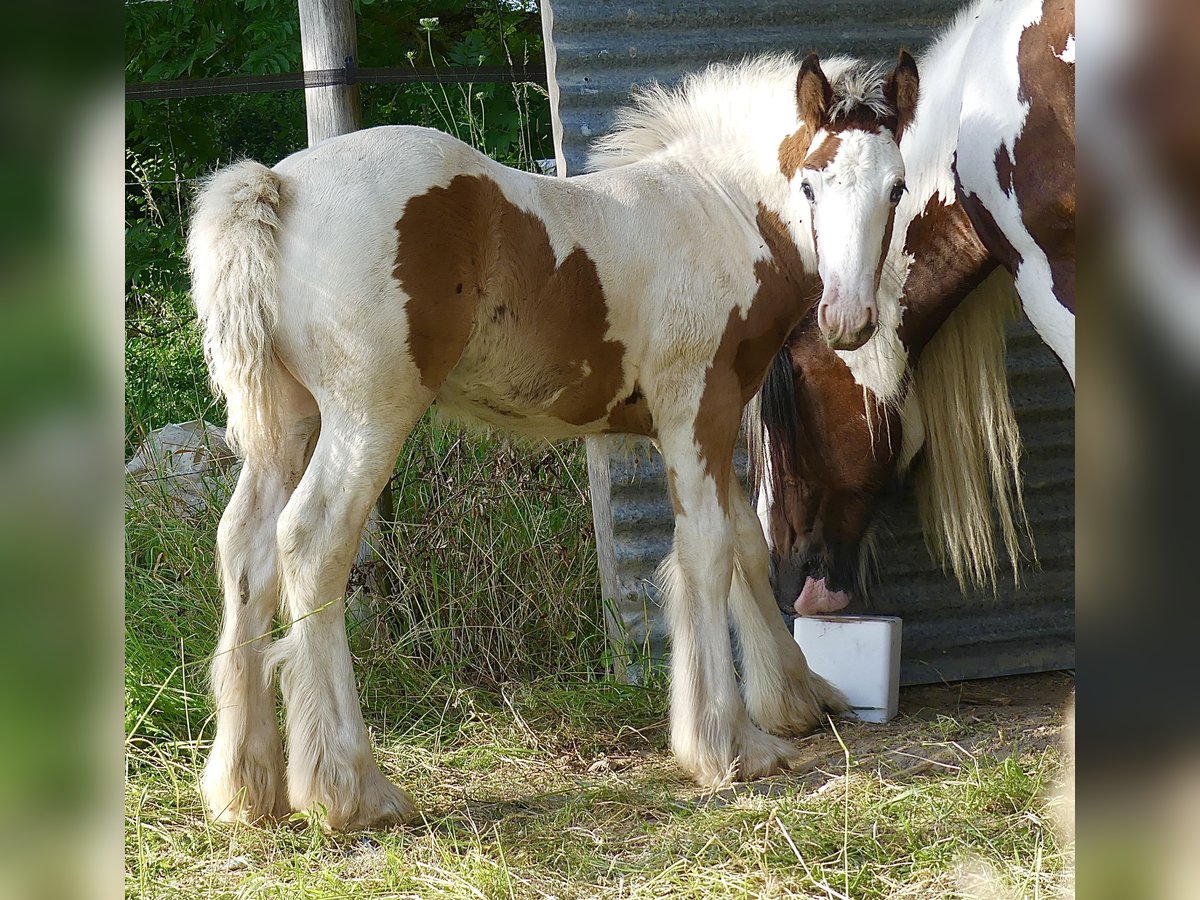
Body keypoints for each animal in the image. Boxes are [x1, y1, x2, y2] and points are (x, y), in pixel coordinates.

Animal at [187, 54, 916, 830]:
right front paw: (728, 746)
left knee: (245, 549)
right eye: (810, 183)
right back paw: (353, 790)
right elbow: (708, 553)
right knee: (311, 543)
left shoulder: (709, 425)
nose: (848, 317)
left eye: (896, 186)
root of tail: (279, 186)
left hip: (287, 424)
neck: (716, 211)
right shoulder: (697, 407)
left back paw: (247, 788)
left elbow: (745, 543)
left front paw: (795, 700)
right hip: (368, 414)